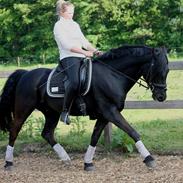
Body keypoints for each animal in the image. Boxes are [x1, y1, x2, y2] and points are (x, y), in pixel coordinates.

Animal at [0, 45, 169, 171]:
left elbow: (94, 137)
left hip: (51, 113)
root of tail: (26, 74)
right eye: (158, 70)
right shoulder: (110, 112)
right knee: (14, 130)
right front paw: (149, 159)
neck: (112, 75)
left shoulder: (104, 115)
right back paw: (9, 163)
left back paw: (65, 158)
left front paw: (88, 163)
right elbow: (132, 131)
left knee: (47, 133)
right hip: (23, 109)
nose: (161, 96)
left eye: (167, 71)